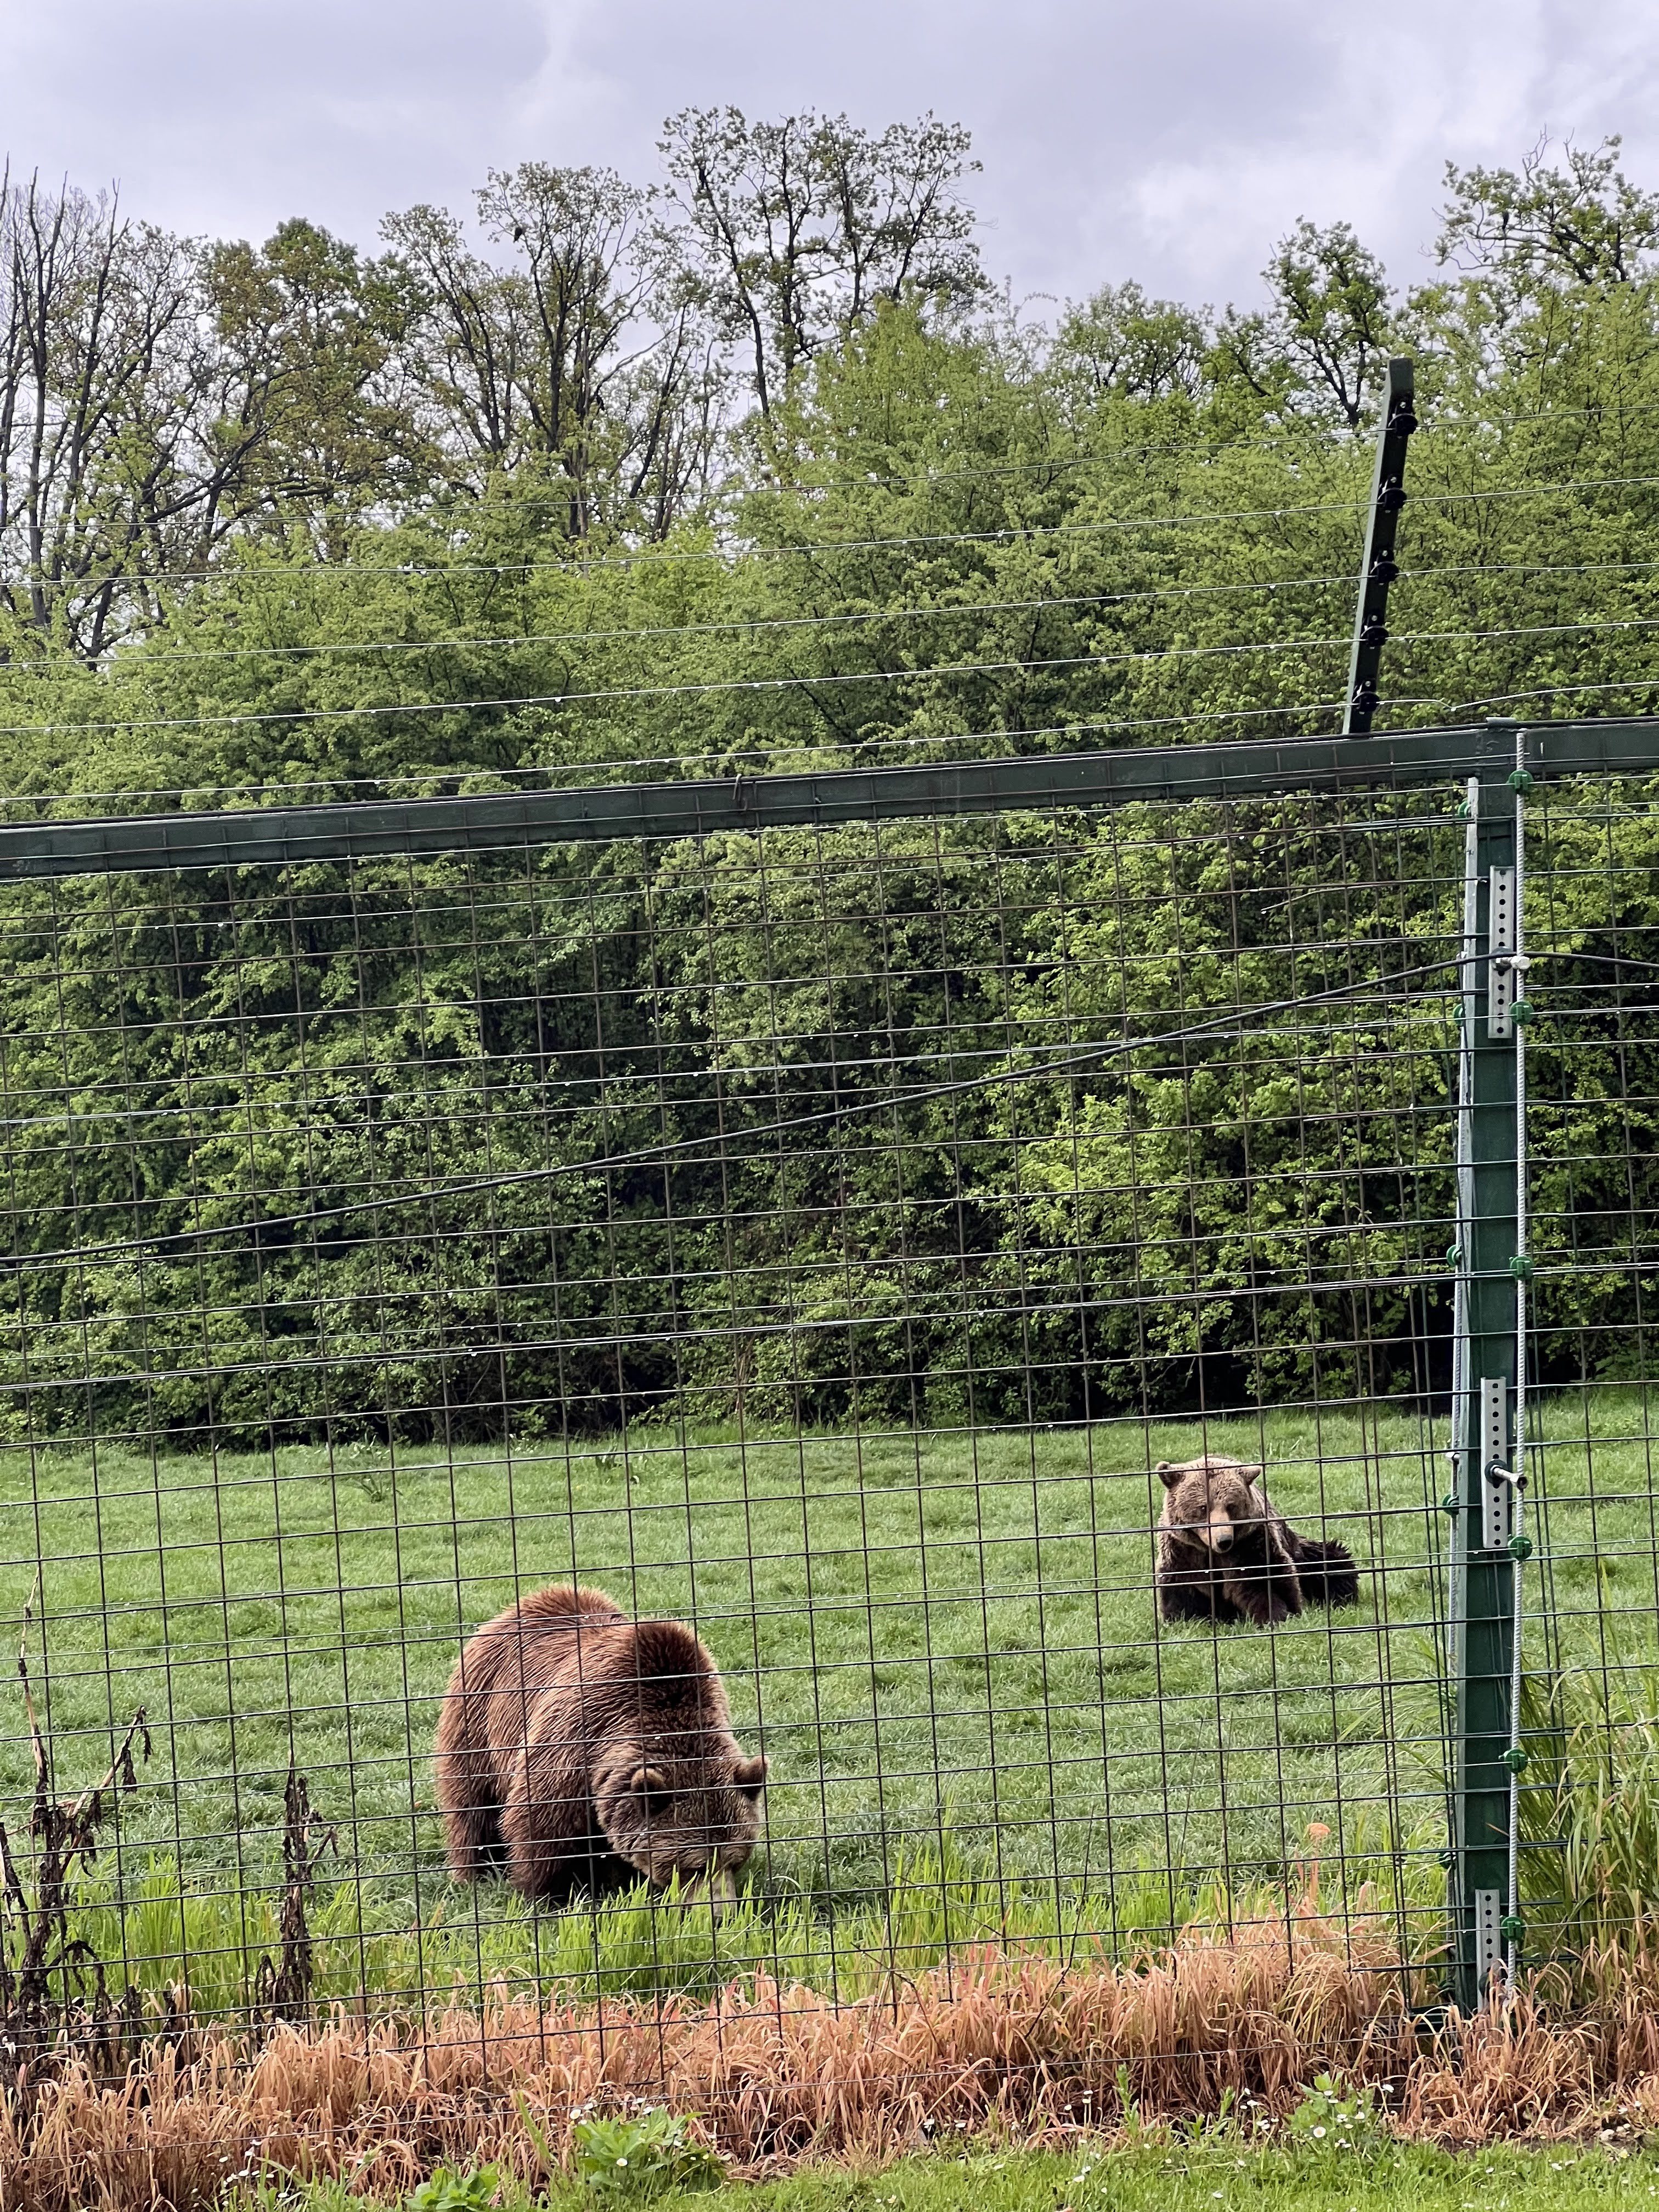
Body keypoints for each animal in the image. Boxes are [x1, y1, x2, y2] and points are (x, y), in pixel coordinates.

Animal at [434, 1583, 767, 1909]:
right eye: (694, 1867)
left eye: (737, 1861)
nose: (722, 1914)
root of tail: (529, 1600)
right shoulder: (572, 1749)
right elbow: (540, 1829)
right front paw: (544, 1894)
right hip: (478, 1715)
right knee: (473, 1804)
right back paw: (473, 1872)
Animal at [1155, 1455, 1360, 1627]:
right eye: (1203, 1507)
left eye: (1231, 1506)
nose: (1224, 1540)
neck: (1213, 1552)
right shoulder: (1185, 1553)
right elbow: (1185, 1589)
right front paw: (1186, 1619)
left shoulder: (1249, 1545)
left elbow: (1264, 1581)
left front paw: (1276, 1615)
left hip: (1300, 1551)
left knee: (1333, 1563)